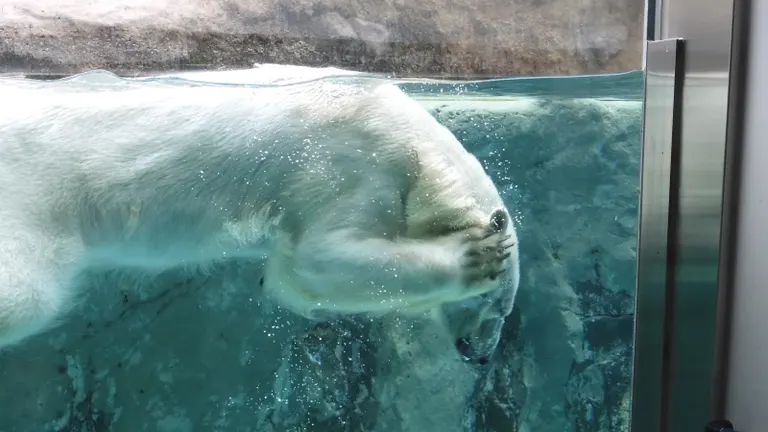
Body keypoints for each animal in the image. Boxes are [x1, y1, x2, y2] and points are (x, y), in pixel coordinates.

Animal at [0, 73, 520, 362]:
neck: (421, 151)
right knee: (25, 296)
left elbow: (294, 279)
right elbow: (321, 256)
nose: (478, 355)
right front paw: (473, 257)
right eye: (497, 303)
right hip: (32, 190)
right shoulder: (354, 163)